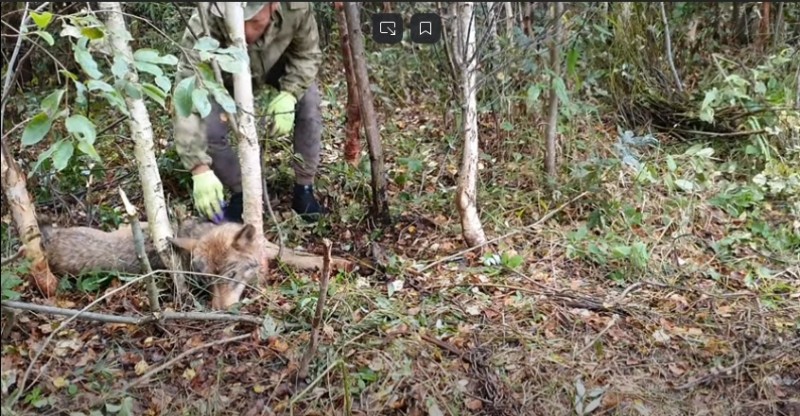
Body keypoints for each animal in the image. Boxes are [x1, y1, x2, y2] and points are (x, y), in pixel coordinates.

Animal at [39, 218, 354, 308]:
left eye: (231, 274)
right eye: (208, 281)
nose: (219, 310)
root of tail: (48, 241)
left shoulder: (270, 246)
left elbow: (299, 255)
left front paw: (341, 261)